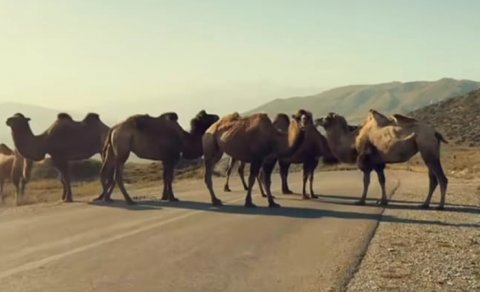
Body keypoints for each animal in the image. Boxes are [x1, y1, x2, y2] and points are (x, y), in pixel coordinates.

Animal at [316, 110, 448, 210]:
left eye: (326, 118)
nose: (316, 120)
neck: (353, 141)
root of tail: (435, 132)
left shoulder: (366, 162)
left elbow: (366, 181)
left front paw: (361, 201)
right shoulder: (378, 163)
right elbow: (381, 180)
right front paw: (382, 201)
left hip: (427, 148)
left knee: (441, 178)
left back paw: (440, 206)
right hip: (430, 152)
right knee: (433, 179)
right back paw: (424, 204)